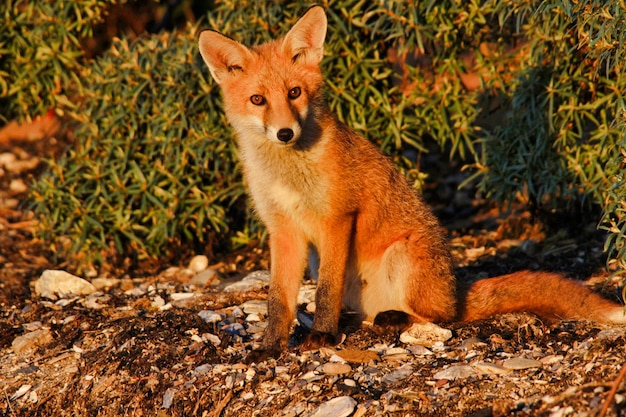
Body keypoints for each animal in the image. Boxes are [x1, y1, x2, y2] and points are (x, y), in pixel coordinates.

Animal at [196, 5, 624, 358]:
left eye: (295, 92)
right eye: (258, 100)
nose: (285, 133)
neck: (289, 173)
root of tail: (455, 291)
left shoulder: (337, 218)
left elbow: (326, 291)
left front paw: (321, 335)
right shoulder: (283, 230)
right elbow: (278, 300)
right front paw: (270, 346)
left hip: (403, 259)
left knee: (440, 318)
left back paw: (395, 319)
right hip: (325, 263)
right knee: (374, 312)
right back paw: (359, 319)